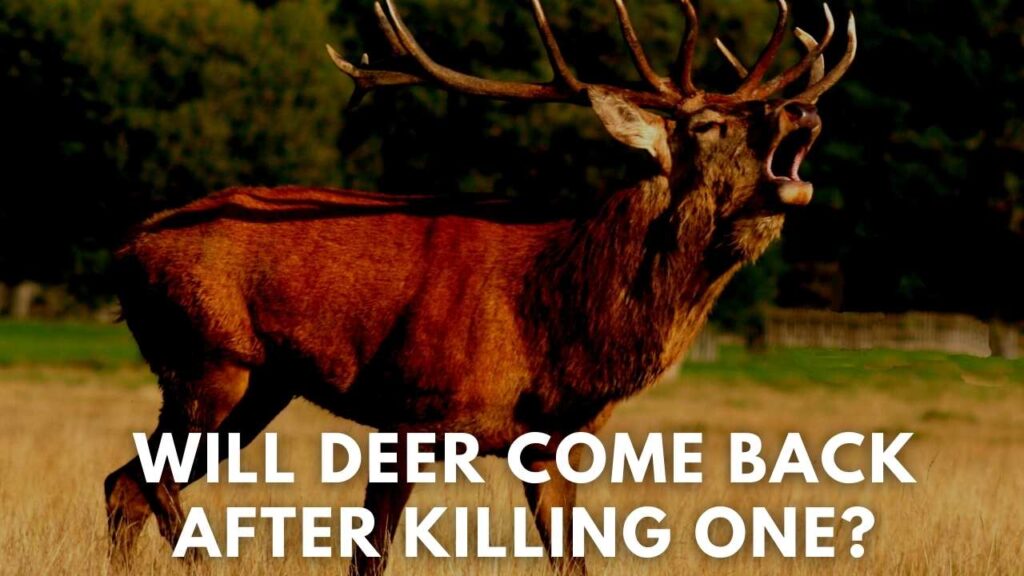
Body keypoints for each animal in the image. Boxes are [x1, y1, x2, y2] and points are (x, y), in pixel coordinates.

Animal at [104, 0, 856, 574]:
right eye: (706, 124)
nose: (802, 112)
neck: (556, 324)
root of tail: (126, 245)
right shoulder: (409, 408)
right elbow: (370, 556)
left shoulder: (554, 442)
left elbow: (572, 561)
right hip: (206, 358)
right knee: (151, 480)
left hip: (260, 385)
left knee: (124, 484)